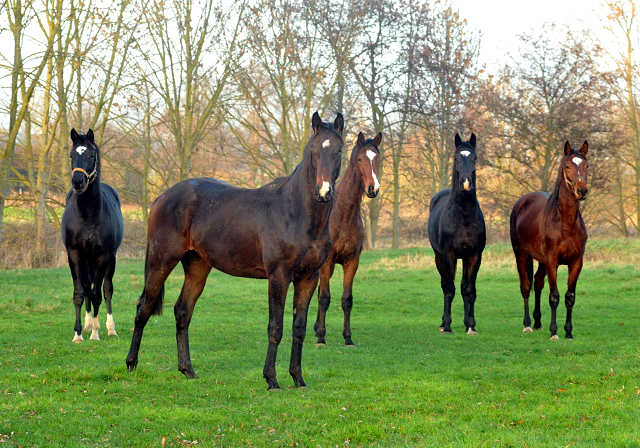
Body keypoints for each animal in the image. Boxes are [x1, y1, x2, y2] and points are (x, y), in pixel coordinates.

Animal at [60, 130, 124, 344]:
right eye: (71, 155)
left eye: (91, 155)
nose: (78, 181)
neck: (88, 216)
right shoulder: (74, 254)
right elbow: (80, 293)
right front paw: (79, 333)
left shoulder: (102, 256)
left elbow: (98, 294)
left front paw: (96, 333)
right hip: (86, 259)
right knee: (87, 286)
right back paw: (87, 324)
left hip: (110, 259)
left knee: (106, 289)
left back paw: (110, 328)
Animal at [125, 111, 344, 388]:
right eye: (314, 150)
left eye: (338, 150)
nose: (324, 192)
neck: (296, 214)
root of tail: (162, 198)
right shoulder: (279, 277)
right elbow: (276, 327)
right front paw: (271, 379)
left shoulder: (308, 278)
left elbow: (299, 327)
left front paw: (298, 378)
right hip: (161, 260)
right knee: (143, 307)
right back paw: (131, 363)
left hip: (197, 266)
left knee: (182, 312)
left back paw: (188, 369)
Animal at [314, 130, 382, 346]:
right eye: (360, 159)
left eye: (378, 158)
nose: (373, 189)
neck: (342, 216)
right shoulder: (327, 262)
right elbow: (325, 297)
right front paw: (321, 337)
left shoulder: (352, 261)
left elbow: (347, 299)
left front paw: (348, 337)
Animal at [428, 134, 488, 336]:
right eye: (455, 158)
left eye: (475, 157)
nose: (466, 183)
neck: (463, 216)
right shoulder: (448, 254)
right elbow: (449, 289)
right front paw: (447, 326)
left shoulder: (475, 255)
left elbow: (469, 290)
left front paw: (471, 325)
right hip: (439, 257)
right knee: (445, 284)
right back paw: (442, 323)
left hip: (465, 258)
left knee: (463, 287)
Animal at [510, 140, 592, 340]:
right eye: (567, 165)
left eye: (587, 165)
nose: (582, 190)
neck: (565, 222)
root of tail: (522, 201)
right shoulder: (552, 261)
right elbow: (554, 296)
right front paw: (554, 332)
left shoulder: (576, 262)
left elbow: (570, 297)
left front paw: (568, 332)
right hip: (521, 254)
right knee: (526, 286)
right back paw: (528, 325)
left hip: (541, 261)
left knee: (538, 283)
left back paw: (538, 322)